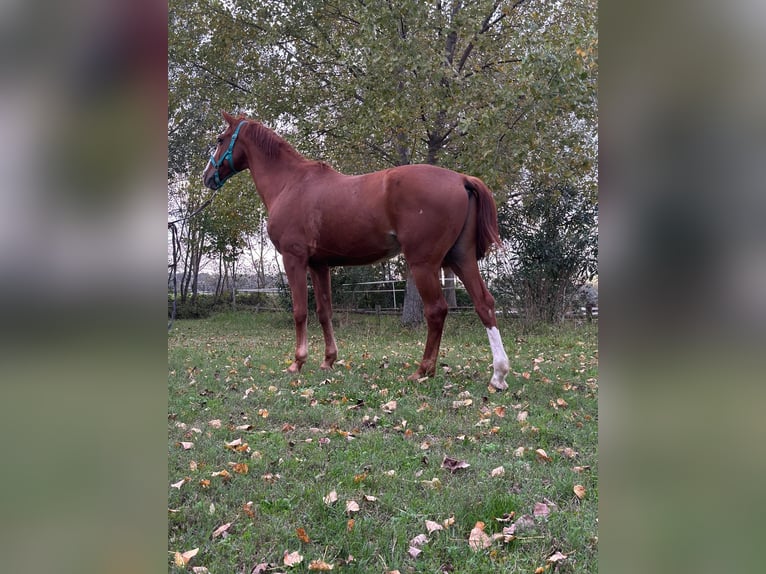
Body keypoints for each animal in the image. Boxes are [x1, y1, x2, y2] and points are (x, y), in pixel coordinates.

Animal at [207, 112, 512, 392]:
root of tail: (461, 179)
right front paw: (328, 360)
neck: (291, 183)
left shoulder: (294, 259)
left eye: (220, 139)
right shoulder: (319, 265)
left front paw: (297, 362)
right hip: (461, 259)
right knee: (484, 304)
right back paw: (498, 375)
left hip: (424, 264)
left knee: (436, 310)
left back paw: (423, 370)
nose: (207, 176)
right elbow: (324, 311)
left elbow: (300, 311)